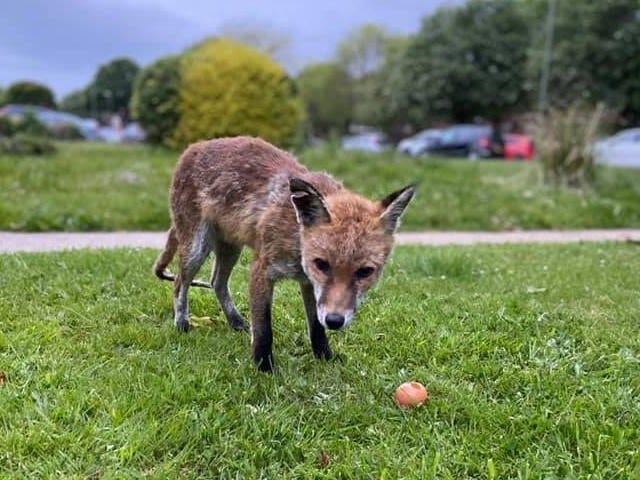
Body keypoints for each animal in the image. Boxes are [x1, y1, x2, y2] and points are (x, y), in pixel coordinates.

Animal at [153, 136, 415, 372]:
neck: (296, 237)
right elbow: (263, 327)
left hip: (231, 248)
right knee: (180, 283)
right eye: (322, 264)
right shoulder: (261, 269)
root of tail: (194, 146)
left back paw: (236, 322)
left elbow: (315, 326)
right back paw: (182, 324)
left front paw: (325, 357)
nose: (335, 321)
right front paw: (264, 368)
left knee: (216, 282)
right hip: (197, 248)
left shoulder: (309, 283)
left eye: (365, 272)